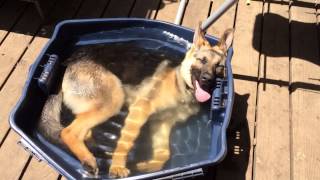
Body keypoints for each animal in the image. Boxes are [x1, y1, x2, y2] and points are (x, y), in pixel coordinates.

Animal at [37, 22, 234, 179]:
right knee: (68, 132)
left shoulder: (162, 123)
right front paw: (117, 167)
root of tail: (70, 61)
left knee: (82, 130)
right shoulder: (141, 110)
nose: (208, 80)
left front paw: (147, 167)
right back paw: (89, 159)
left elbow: (164, 154)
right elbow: (125, 143)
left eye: (219, 67)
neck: (181, 82)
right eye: (202, 60)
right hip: (114, 99)